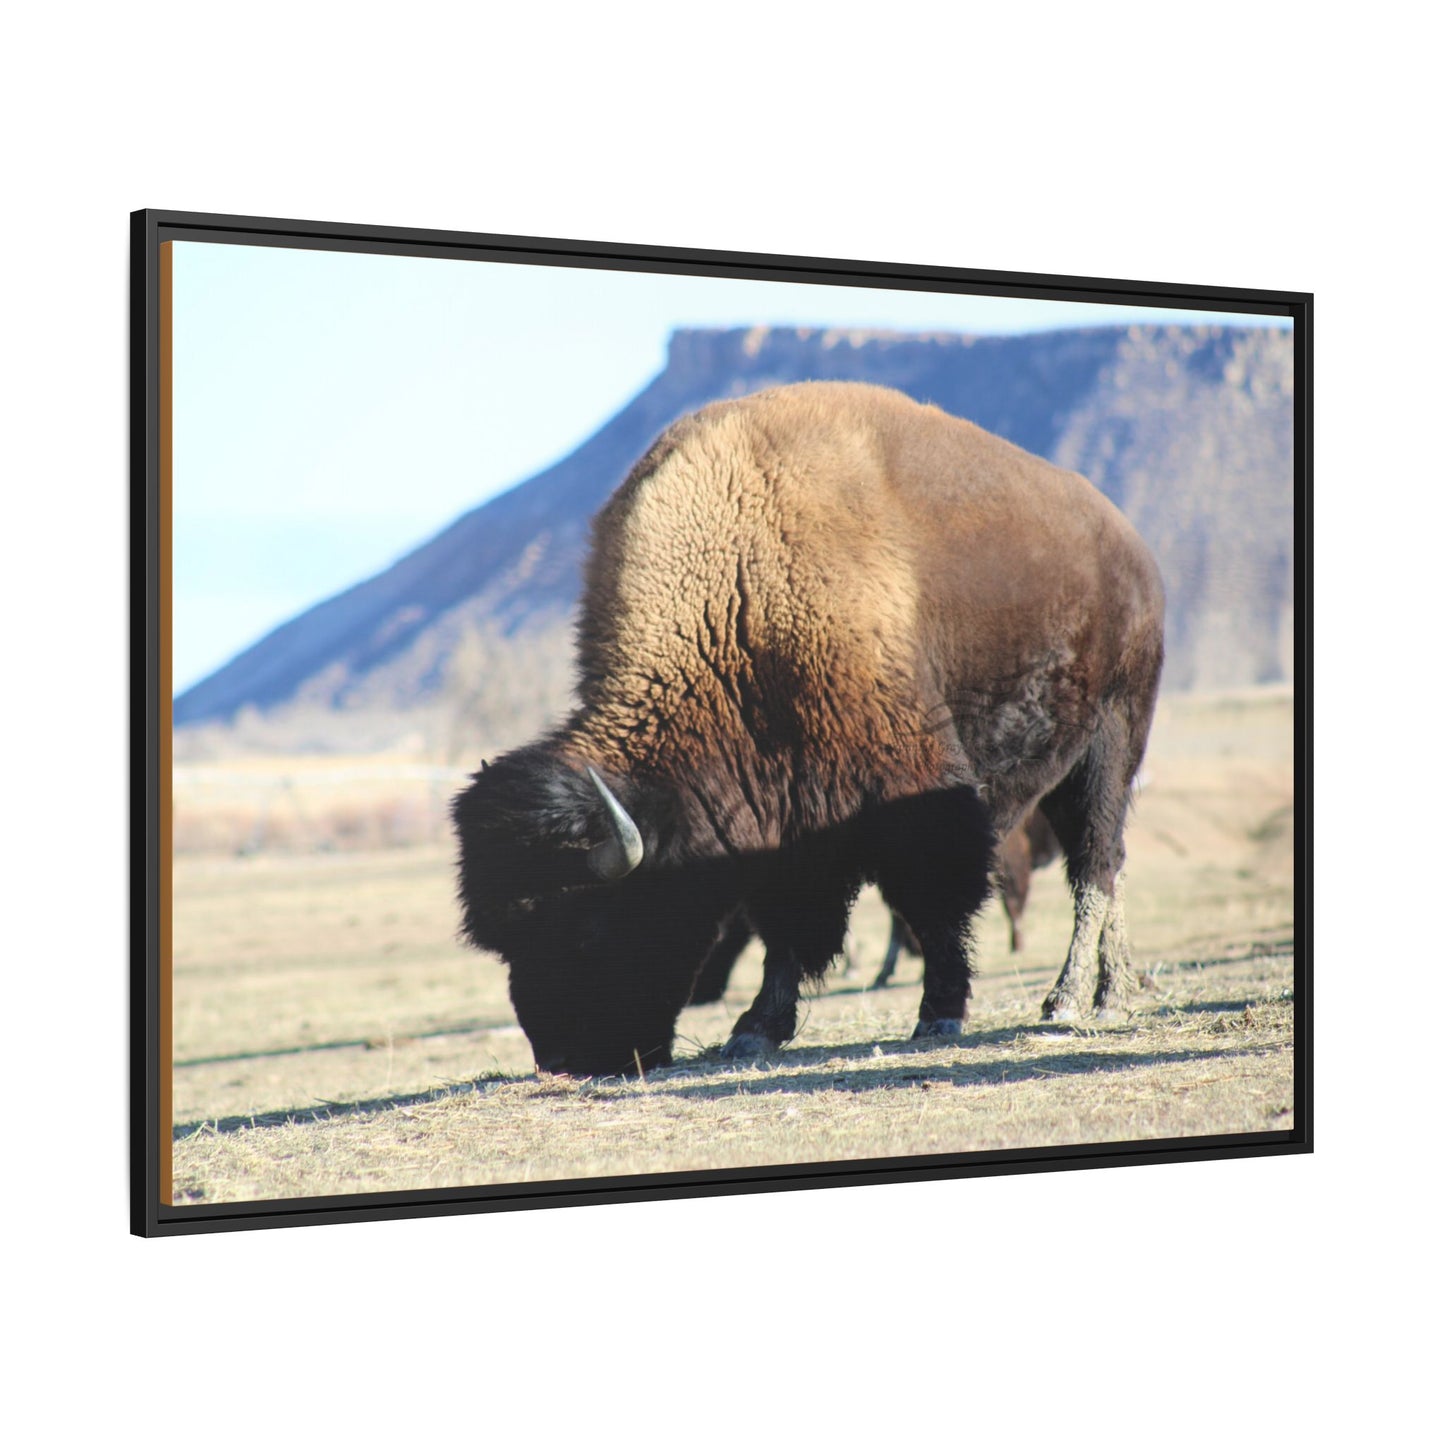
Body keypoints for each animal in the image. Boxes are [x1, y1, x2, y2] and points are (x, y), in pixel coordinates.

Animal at [453, 382, 1164, 1076]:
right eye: (505, 941)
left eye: (588, 926)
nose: (563, 1061)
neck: (737, 598)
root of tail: (1131, 548)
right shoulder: (783, 819)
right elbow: (786, 928)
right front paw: (755, 1030)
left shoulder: (913, 792)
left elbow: (932, 902)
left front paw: (939, 1014)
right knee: (1109, 865)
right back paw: (1112, 990)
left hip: (1109, 745)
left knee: (1095, 866)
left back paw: (1074, 999)